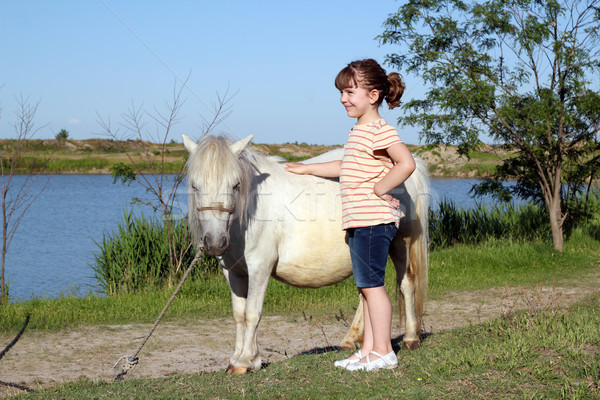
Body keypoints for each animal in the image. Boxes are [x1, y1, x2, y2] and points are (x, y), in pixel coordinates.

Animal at [180, 134, 428, 376]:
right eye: (194, 186)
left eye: (235, 185)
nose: (215, 242)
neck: (248, 213)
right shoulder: (233, 272)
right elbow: (239, 314)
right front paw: (236, 359)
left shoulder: (260, 267)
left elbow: (252, 313)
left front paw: (246, 361)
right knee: (365, 293)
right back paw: (350, 340)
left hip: (399, 245)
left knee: (406, 284)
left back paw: (410, 337)